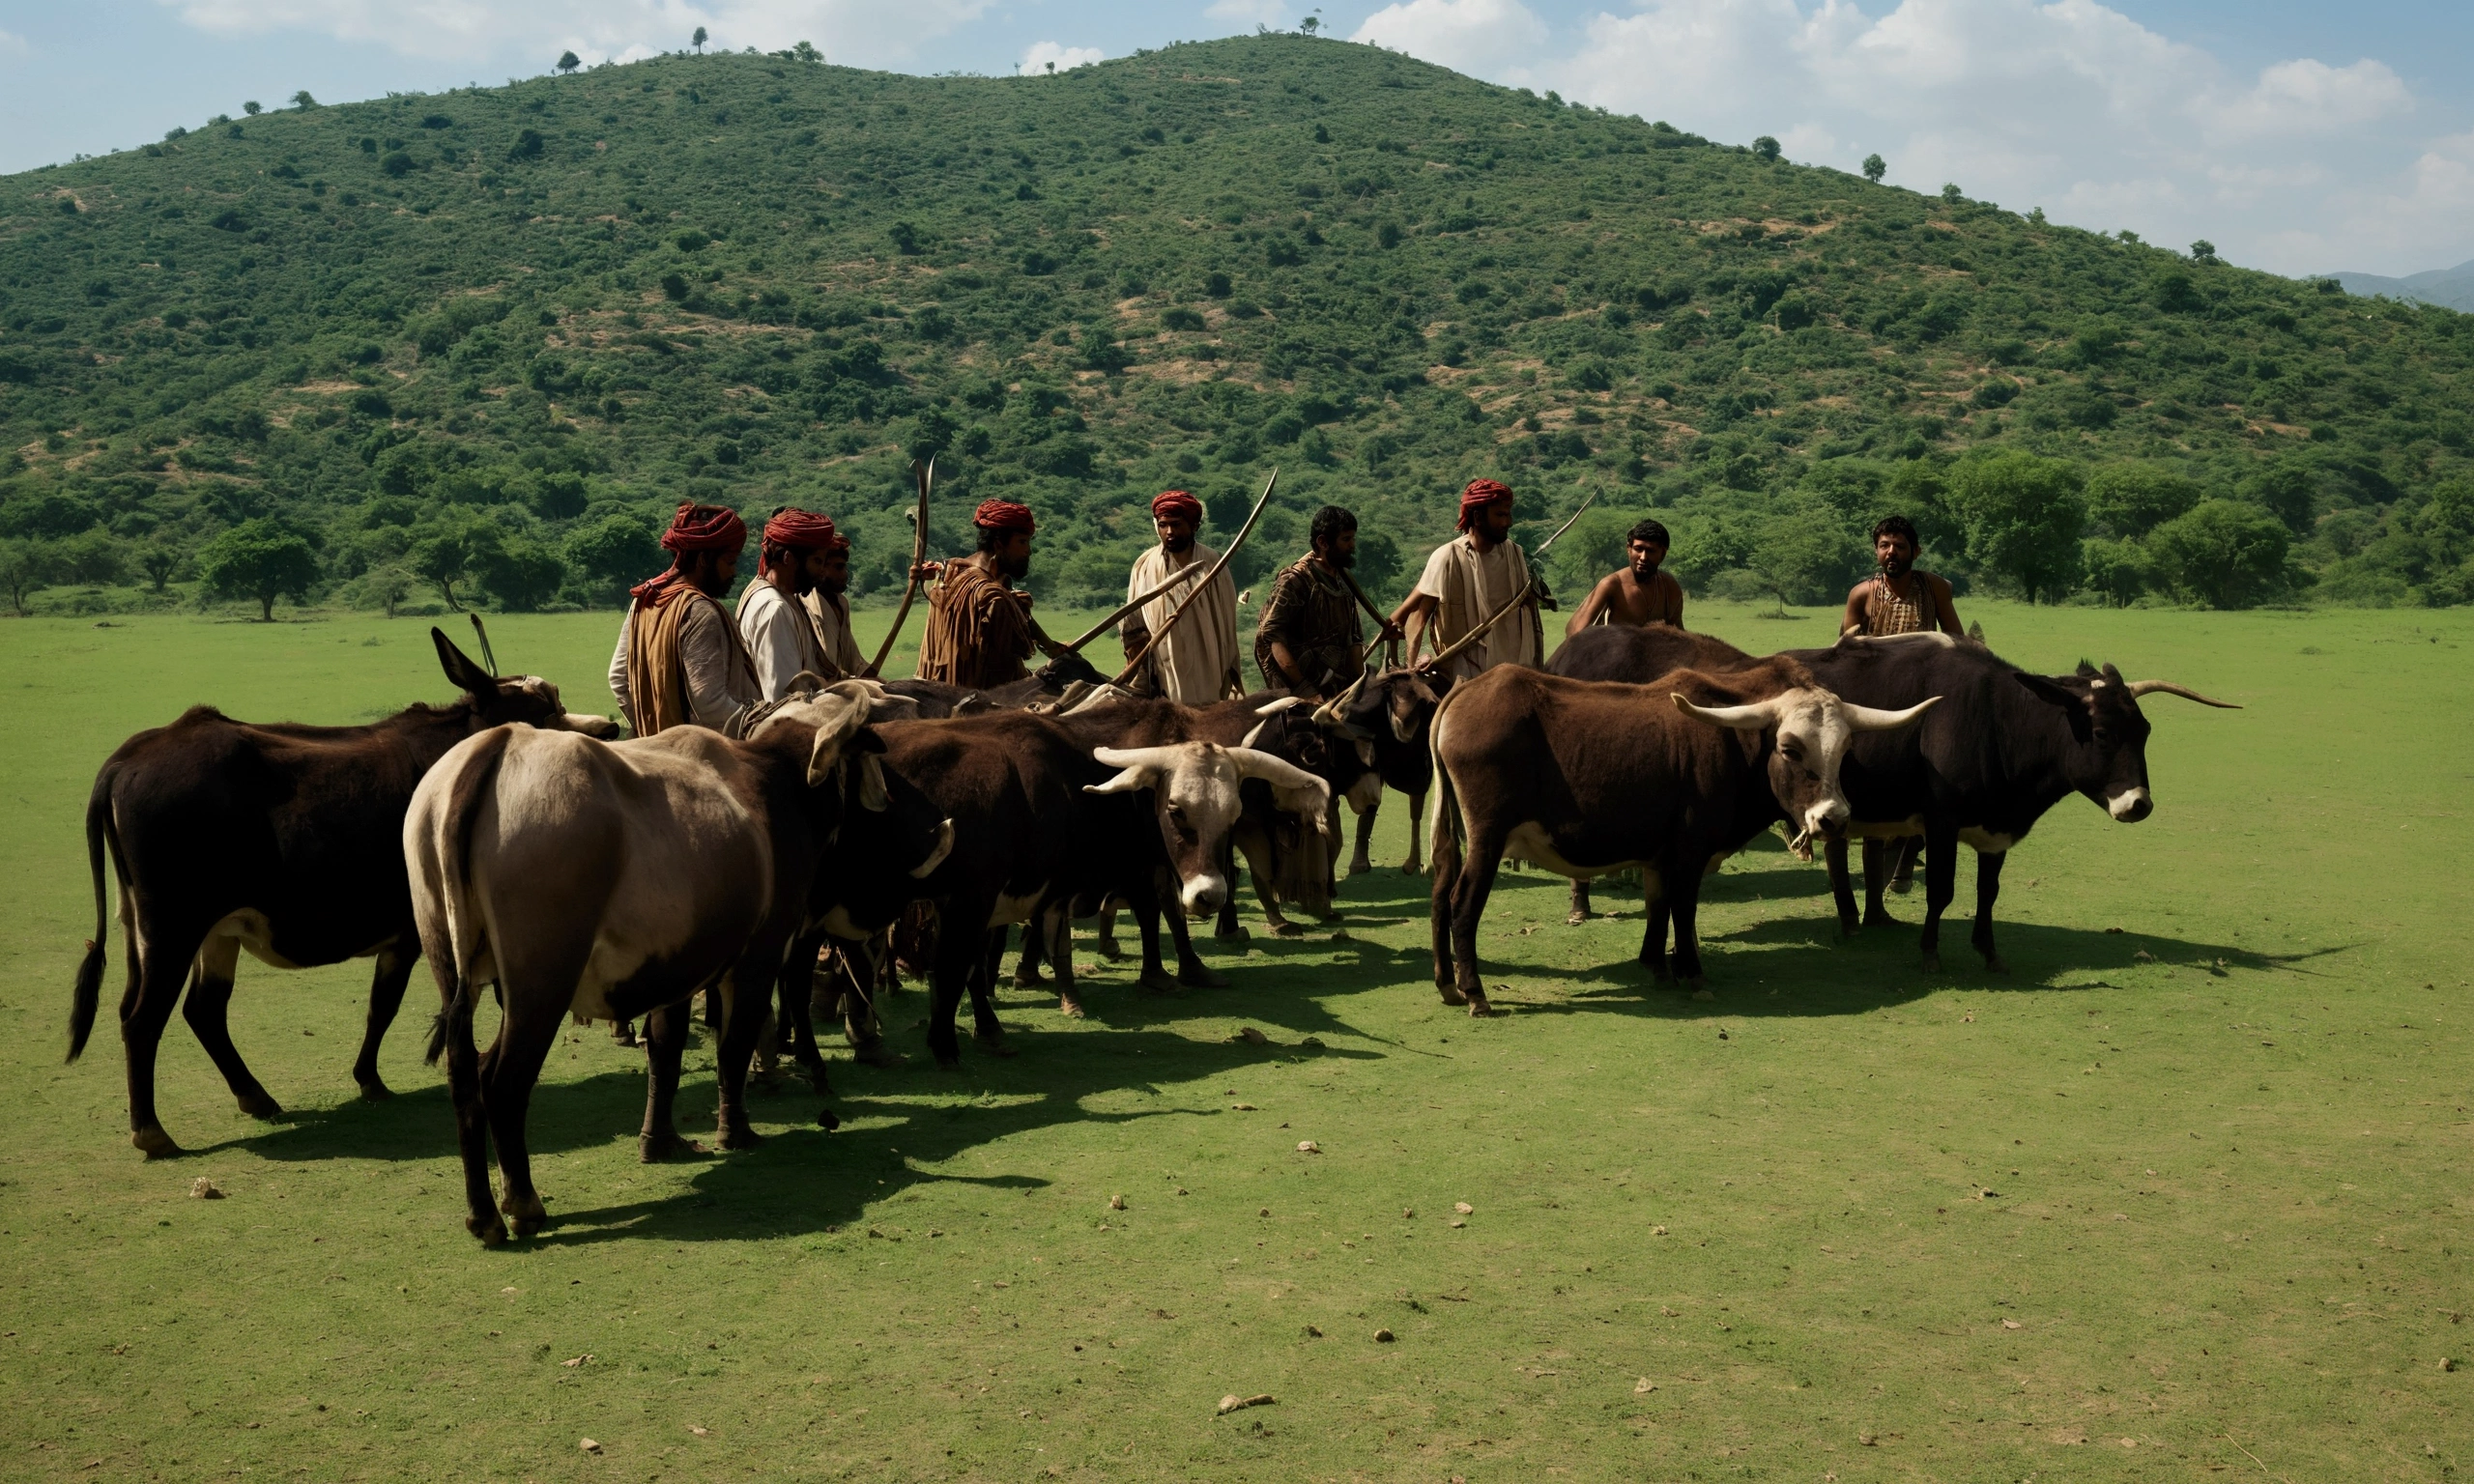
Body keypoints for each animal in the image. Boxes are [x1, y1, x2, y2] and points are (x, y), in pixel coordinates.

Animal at [65, 625, 616, 1157]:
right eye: (543, 715)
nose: (609, 730)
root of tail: (130, 757)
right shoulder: (418, 932)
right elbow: (389, 1004)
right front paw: (372, 1078)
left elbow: (388, 1005)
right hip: (173, 927)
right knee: (142, 1020)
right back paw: (151, 1130)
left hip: (205, 931)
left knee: (203, 1010)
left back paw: (254, 1096)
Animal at [405, 687, 944, 1246]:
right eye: (875, 763)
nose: (932, 826)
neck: (777, 780)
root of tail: (497, 744)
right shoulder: (757, 959)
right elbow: (733, 1049)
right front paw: (735, 1130)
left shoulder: (678, 968)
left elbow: (664, 1052)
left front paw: (659, 1139)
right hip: (542, 988)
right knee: (502, 1081)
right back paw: (523, 1203)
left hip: (451, 968)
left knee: (464, 1078)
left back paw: (482, 1212)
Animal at [1424, 657, 1940, 1013]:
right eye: (1791, 749)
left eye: (1845, 748)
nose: (1833, 819)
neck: (1733, 742)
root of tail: (1466, 693)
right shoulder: (1691, 851)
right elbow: (1684, 909)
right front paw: (1692, 971)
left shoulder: (1659, 855)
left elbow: (1658, 907)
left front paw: (1656, 964)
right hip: (1488, 837)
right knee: (1461, 903)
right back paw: (1475, 992)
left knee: (1439, 893)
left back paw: (1447, 984)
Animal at [1781, 633, 2246, 974]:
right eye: (2100, 733)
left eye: (2144, 730)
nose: (2138, 804)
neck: (1995, 719)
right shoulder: (1941, 824)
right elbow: (1941, 890)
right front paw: (1930, 954)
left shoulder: (1997, 832)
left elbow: (1988, 892)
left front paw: (1989, 953)